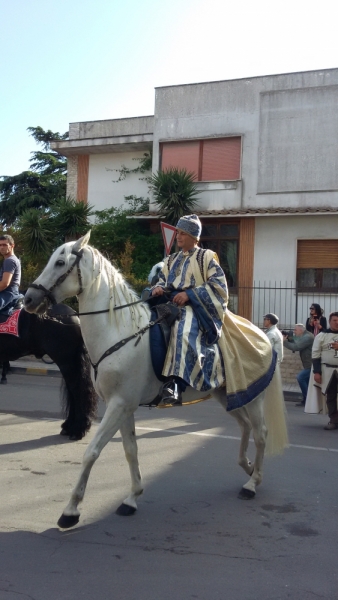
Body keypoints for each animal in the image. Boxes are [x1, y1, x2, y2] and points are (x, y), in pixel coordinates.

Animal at [23, 232, 288, 528]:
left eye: (60, 262)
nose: (29, 299)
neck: (119, 333)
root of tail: (263, 334)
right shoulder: (124, 407)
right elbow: (130, 450)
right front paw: (132, 498)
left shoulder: (119, 405)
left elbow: (91, 451)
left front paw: (70, 511)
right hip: (226, 394)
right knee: (245, 426)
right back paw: (248, 467)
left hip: (253, 397)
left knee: (261, 433)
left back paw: (252, 484)